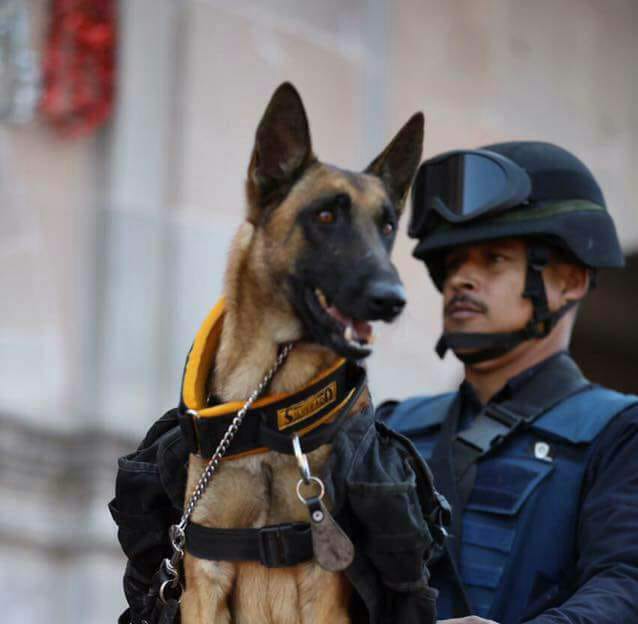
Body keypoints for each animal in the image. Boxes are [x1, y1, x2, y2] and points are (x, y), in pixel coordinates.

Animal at [180, 82, 424, 624]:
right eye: (326, 215)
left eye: (388, 227)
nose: (394, 300)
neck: (268, 407)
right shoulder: (204, 582)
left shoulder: (324, 589)